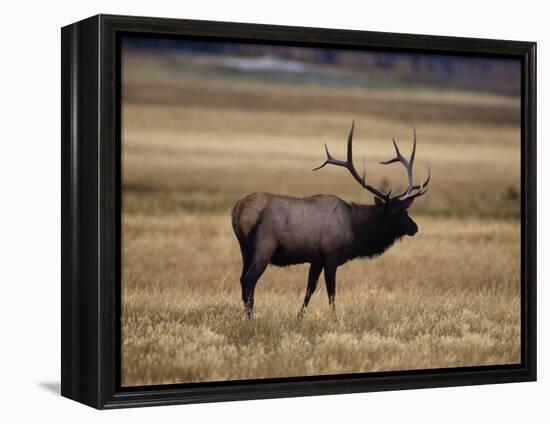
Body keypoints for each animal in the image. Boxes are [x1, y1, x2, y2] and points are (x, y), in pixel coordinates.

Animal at [232, 119, 432, 318]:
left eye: (406, 211)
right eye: (393, 213)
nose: (415, 227)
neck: (354, 230)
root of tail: (239, 210)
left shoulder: (316, 259)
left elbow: (310, 289)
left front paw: (299, 317)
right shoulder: (330, 255)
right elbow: (331, 292)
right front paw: (334, 318)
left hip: (245, 249)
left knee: (242, 279)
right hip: (264, 246)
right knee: (249, 280)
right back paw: (250, 317)